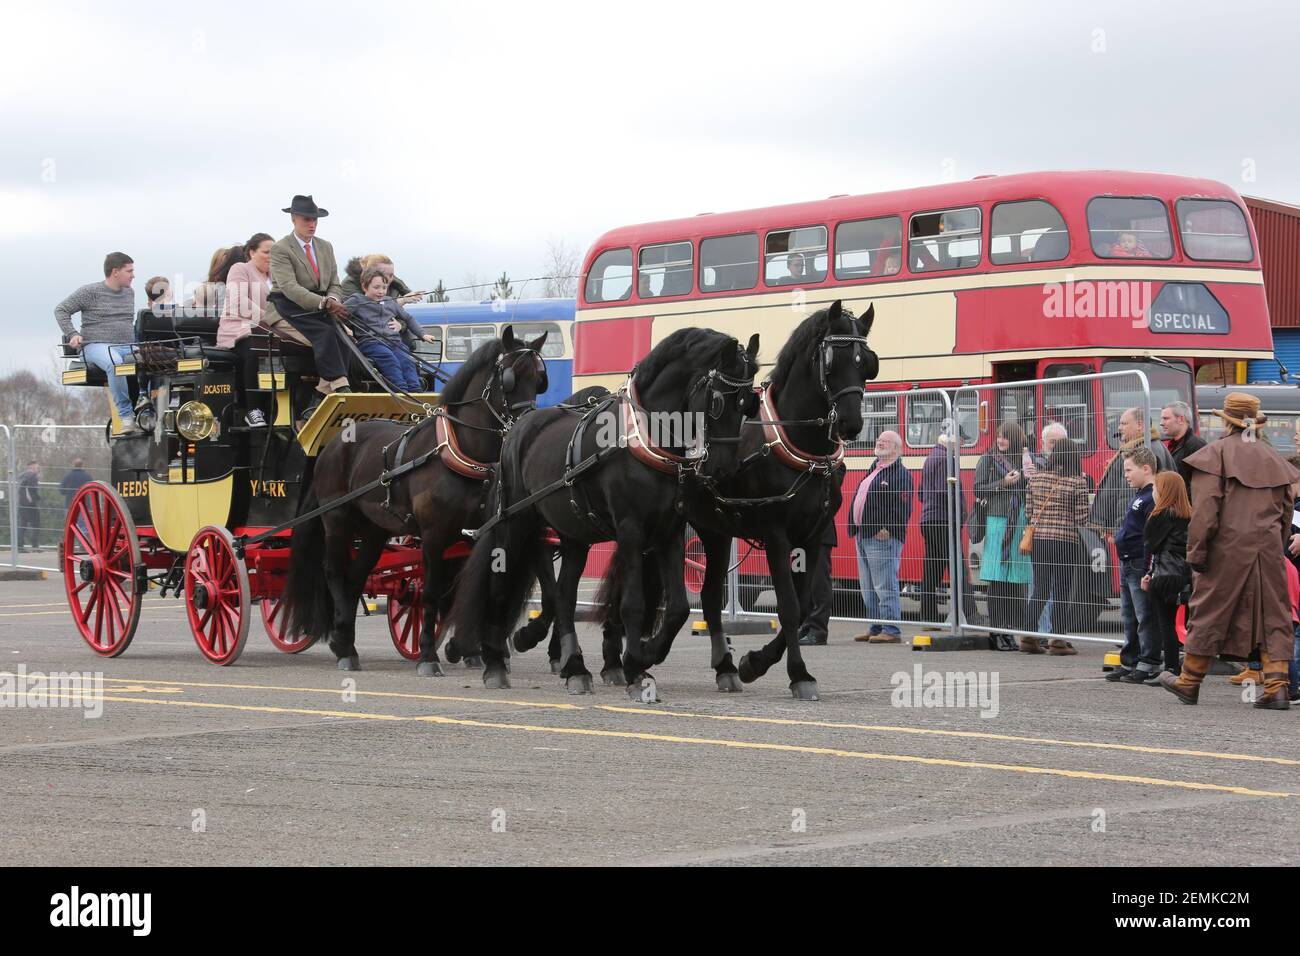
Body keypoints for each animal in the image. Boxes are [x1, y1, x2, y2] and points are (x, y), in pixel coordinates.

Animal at [282, 325, 551, 676]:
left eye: (539, 378)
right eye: (509, 377)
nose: (527, 424)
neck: (460, 453)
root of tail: (333, 445)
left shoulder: (473, 535)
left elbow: (465, 587)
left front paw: (466, 649)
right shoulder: (434, 536)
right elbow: (432, 593)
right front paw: (428, 655)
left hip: (374, 531)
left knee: (355, 578)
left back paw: (346, 643)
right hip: (337, 520)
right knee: (336, 574)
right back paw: (345, 648)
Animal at [444, 325, 759, 697]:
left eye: (750, 403)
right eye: (718, 402)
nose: (724, 469)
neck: (644, 437)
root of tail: (518, 428)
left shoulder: (668, 531)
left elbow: (679, 608)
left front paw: (647, 653)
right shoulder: (630, 529)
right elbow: (633, 602)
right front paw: (635, 664)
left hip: (573, 534)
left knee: (564, 596)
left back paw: (575, 667)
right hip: (516, 522)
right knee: (500, 583)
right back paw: (495, 660)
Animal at [595, 303, 878, 697]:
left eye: (866, 363)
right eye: (831, 361)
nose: (851, 423)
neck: (798, 445)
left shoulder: (812, 537)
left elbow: (804, 605)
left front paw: (753, 663)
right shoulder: (776, 535)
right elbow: (789, 606)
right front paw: (798, 673)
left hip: (711, 531)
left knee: (710, 597)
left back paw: (723, 666)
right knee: (630, 588)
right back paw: (617, 657)